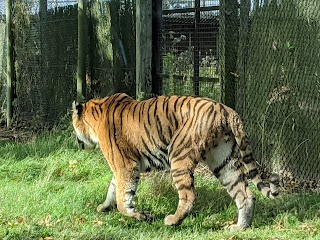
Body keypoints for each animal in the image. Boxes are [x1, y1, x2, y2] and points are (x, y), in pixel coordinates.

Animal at [71, 93, 278, 230]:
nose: (76, 143)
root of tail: (225, 109)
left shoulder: (125, 166)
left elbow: (123, 199)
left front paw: (142, 216)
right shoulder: (121, 167)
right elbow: (113, 188)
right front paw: (104, 206)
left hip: (179, 157)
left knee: (189, 195)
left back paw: (172, 221)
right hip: (225, 161)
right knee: (245, 194)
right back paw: (239, 228)